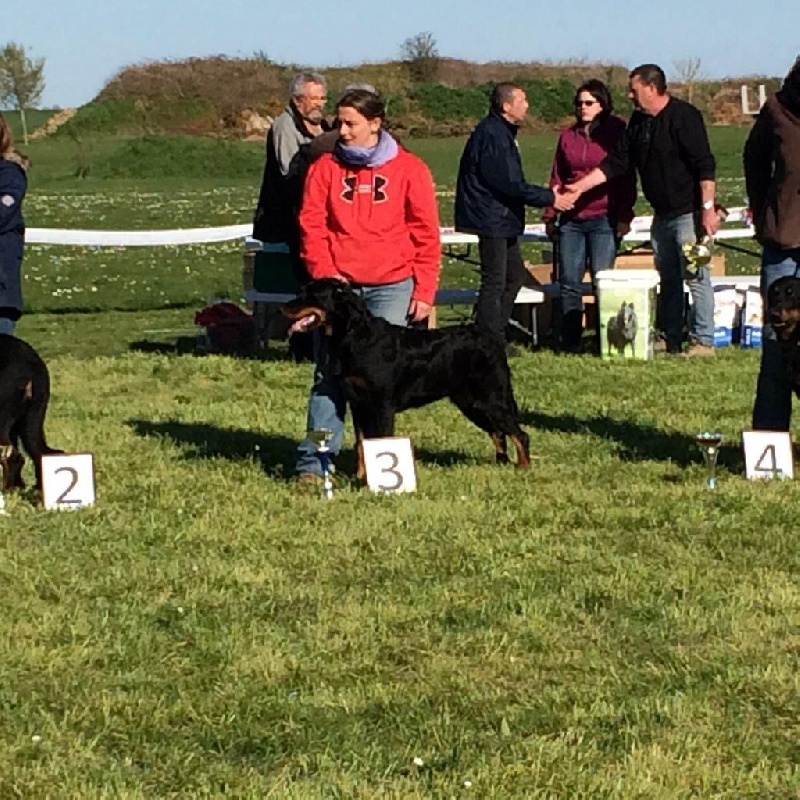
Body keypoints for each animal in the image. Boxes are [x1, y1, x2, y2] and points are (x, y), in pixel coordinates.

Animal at [282, 279, 530, 475]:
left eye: (311, 294)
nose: (283, 308)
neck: (355, 336)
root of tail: (493, 341)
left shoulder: (382, 405)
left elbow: (380, 441)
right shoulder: (358, 404)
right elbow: (361, 444)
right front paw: (361, 477)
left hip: (492, 398)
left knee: (519, 434)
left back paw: (524, 468)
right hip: (470, 402)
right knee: (498, 432)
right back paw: (501, 464)